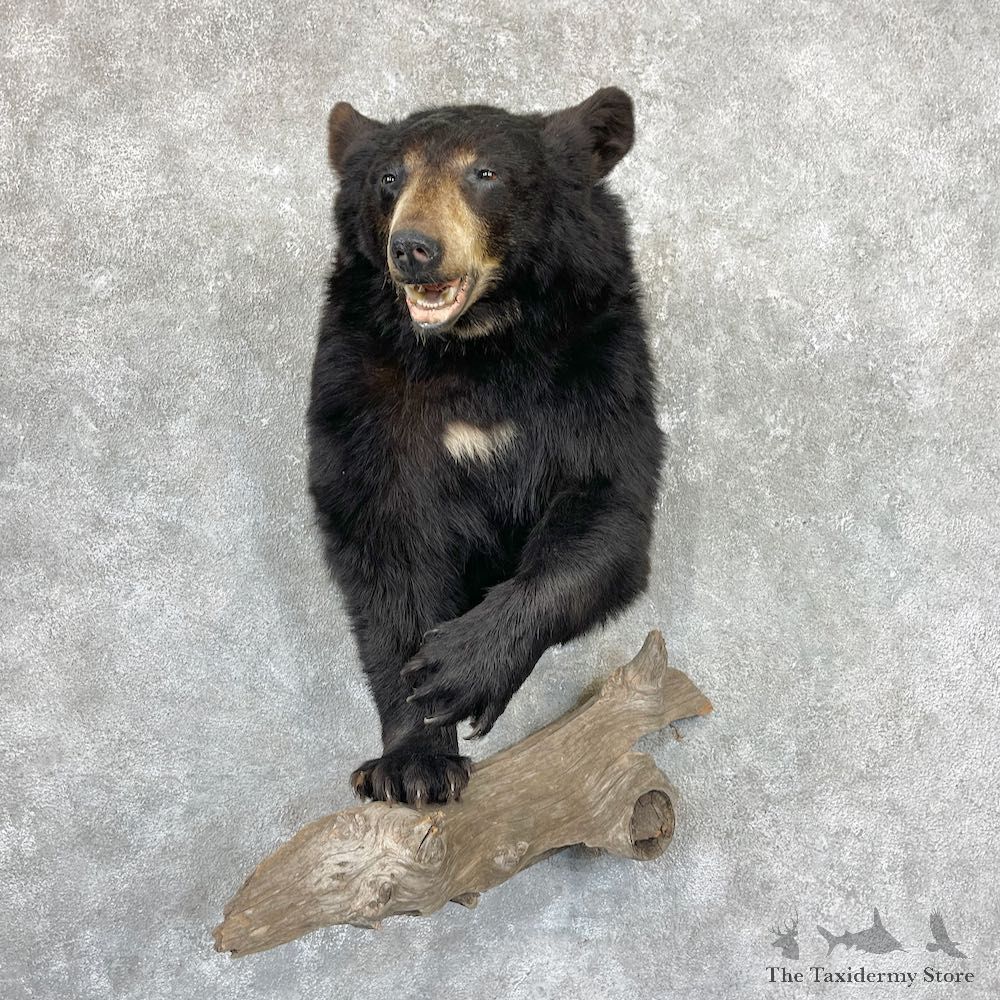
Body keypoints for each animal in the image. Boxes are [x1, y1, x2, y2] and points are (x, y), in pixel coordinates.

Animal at [306, 87, 664, 805]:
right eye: (390, 178)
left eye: (485, 173)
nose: (414, 248)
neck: (477, 348)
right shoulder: (362, 392)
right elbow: (386, 552)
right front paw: (412, 763)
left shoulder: (600, 367)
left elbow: (605, 508)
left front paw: (461, 668)